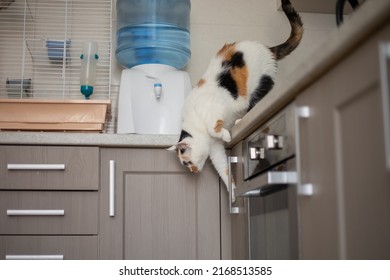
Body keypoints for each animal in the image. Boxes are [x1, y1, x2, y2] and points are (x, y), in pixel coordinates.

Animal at [167, 0, 302, 201]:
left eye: (187, 162)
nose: (193, 171)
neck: (195, 122)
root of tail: (267, 48)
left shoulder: (212, 111)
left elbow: (213, 128)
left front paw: (226, 134)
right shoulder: (216, 150)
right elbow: (224, 169)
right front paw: (231, 193)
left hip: (258, 85)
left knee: (257, 102)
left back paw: (240, 120)